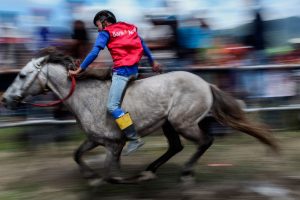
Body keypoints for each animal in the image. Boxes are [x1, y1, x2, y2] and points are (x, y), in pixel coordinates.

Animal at [2, 47, 278, 185]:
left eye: (22, 75)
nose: (5, 99)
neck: (84, 95)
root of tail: (206, 84)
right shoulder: (95, 140)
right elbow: (77, 155)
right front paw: (91, 178)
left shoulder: (114, 144)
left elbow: (111, 175)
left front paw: (115, 179)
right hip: (169, 124)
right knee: (176, 147)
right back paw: (150, 171)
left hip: (184, 123)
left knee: (204, 141)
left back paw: (186, 173)